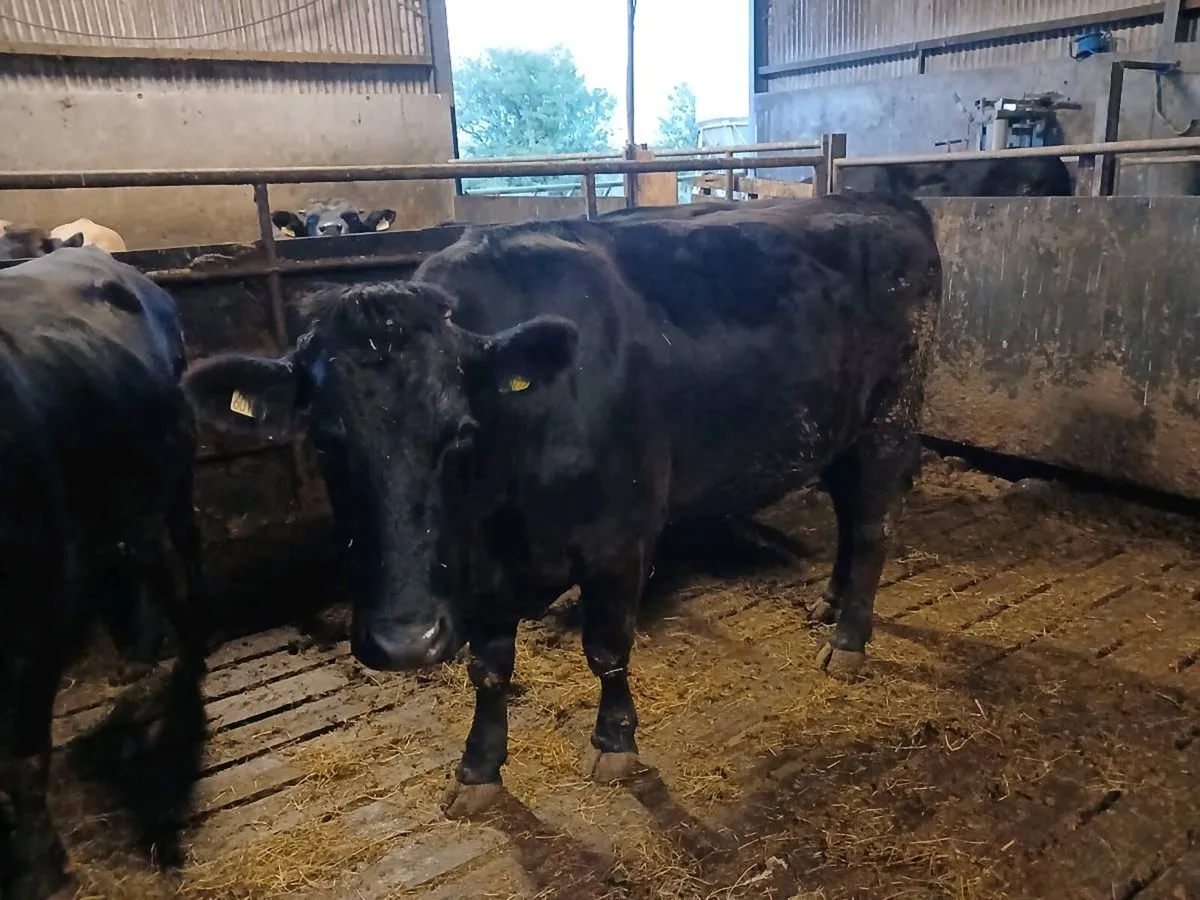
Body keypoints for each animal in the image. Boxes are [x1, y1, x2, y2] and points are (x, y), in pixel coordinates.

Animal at [0, 246, 208, 900]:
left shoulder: (38, 615)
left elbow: (21, 757)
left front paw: (44, 865)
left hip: (178, 466)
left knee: (183, 545)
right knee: (139, 559)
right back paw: (138, 654)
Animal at [182, 194, 942, 818]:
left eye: (460, 432)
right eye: (325, 441)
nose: (404, 643)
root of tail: (884, 202)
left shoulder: (622, 540)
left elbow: (607, 649)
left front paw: (615, 742)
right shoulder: (482, 571)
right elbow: (489, 666)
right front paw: (479, 768)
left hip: (890, 416)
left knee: (872, 524)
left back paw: (849, 638)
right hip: (838, 428)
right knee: (848, 517)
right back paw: (830, 602)